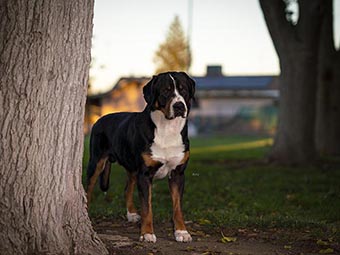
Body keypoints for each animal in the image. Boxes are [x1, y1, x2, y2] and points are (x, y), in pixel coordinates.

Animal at [86, 71, 195, 243]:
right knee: (88, 189)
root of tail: (100, 119)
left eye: (183, 90)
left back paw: (131, 214)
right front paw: (147, 233)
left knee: (127, 189)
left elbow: (177, 207)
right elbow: (147, 208)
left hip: (132, 168)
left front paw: (181, 232)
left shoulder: (178, 173)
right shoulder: (144, 174)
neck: (167, 130)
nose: (179, 106)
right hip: (96, 162)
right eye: (165, 91)